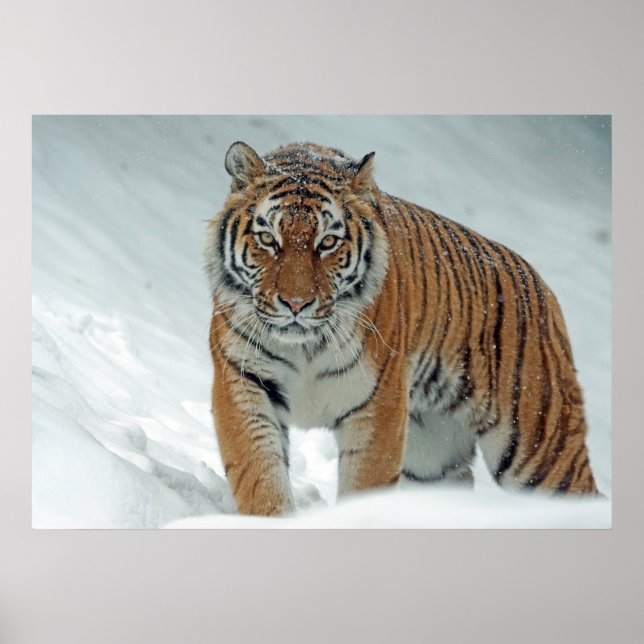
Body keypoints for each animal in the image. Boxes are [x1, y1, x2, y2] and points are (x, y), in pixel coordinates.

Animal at [204, 140, 599, 516]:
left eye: (328, 242)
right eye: (268, 239)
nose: (296, 304)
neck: (305, 346)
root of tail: (542, 287)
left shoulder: (379, 403)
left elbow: (365, 484)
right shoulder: (243, 382)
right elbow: (259, 476)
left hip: (540, 446)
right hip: (432, 458)